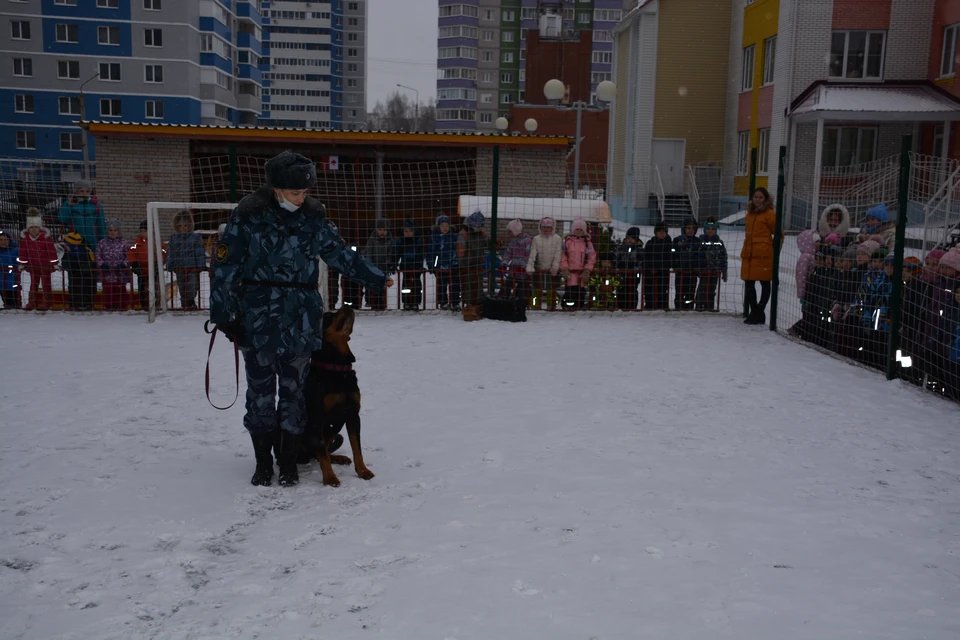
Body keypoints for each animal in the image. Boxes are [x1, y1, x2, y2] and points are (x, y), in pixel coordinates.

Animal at [300, 304, 376, 484]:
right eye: (328, 316)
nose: (346, 305)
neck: (337, 368)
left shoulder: (353, 414)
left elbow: (357, 447)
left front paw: (363, 471)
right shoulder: (317, 417)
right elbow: (321, 449)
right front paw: (330, 478)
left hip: (335, 429)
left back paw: (339, 458)